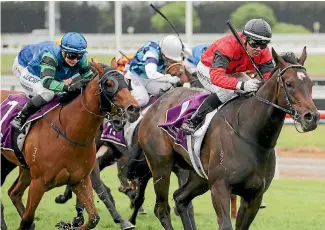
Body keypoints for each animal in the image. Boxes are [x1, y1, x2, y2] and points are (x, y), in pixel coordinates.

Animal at [0, 61, 139, 230]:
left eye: (128, 83)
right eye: (109, 84)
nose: (134, 109)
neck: (69, 133)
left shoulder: (80, 180)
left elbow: (93, 218)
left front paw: (68, 223)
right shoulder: (38, 183)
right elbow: (26, 219)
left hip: (22, 167)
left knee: (14, 192)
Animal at [137, 47, 318, 230]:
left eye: (310, 84)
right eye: (289, 84)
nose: (312, 117)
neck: (250, 135)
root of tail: (157, 103)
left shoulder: (254, 196)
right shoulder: (220, 187)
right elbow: (225, 225)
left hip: (199, 176)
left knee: (180, 199)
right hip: (161, 166)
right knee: (162, 209)